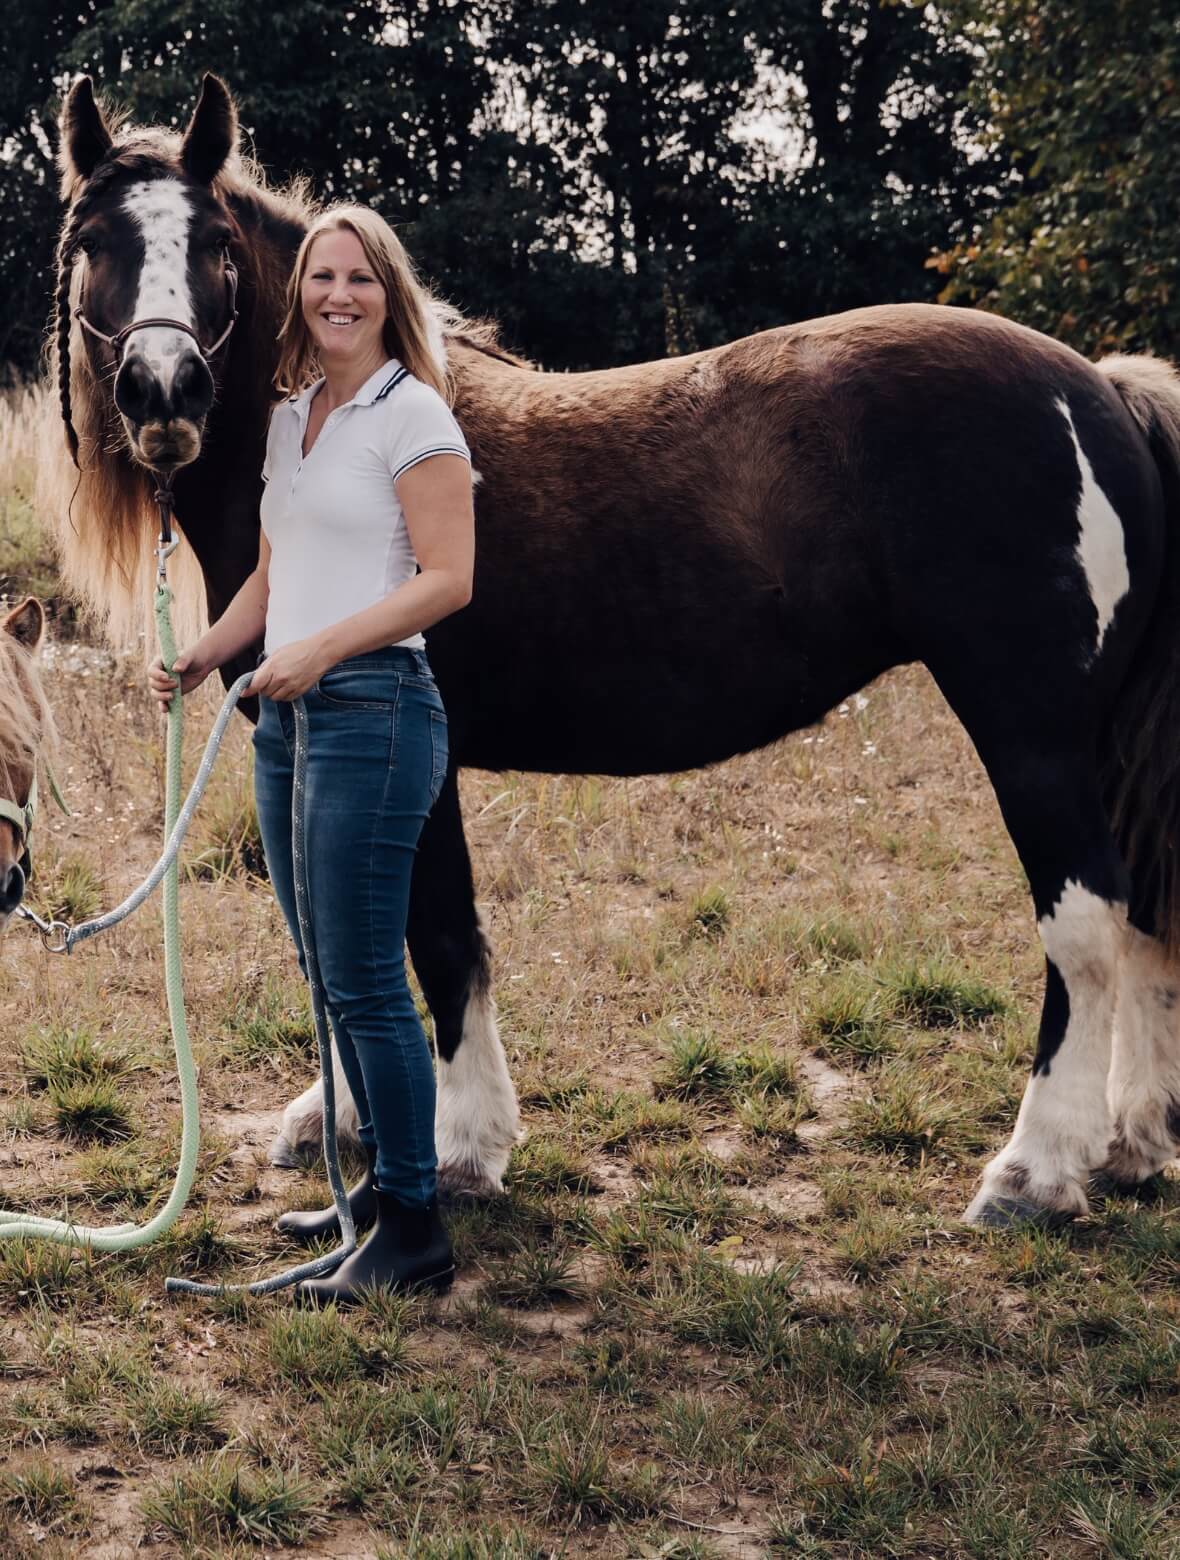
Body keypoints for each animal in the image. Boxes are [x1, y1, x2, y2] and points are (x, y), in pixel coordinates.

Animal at [41, 79, 1180, 1229]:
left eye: (216, 245)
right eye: (92, 242)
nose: (165, 391)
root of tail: (1095, 388)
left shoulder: (413, 758)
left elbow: (433, 935)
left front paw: (462, 1148)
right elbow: (339, 933)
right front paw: (340, 1121)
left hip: (1031, 737)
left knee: (1085, 928)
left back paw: (1034, 1170)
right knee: (1143, 919)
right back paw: (1128, 1144)